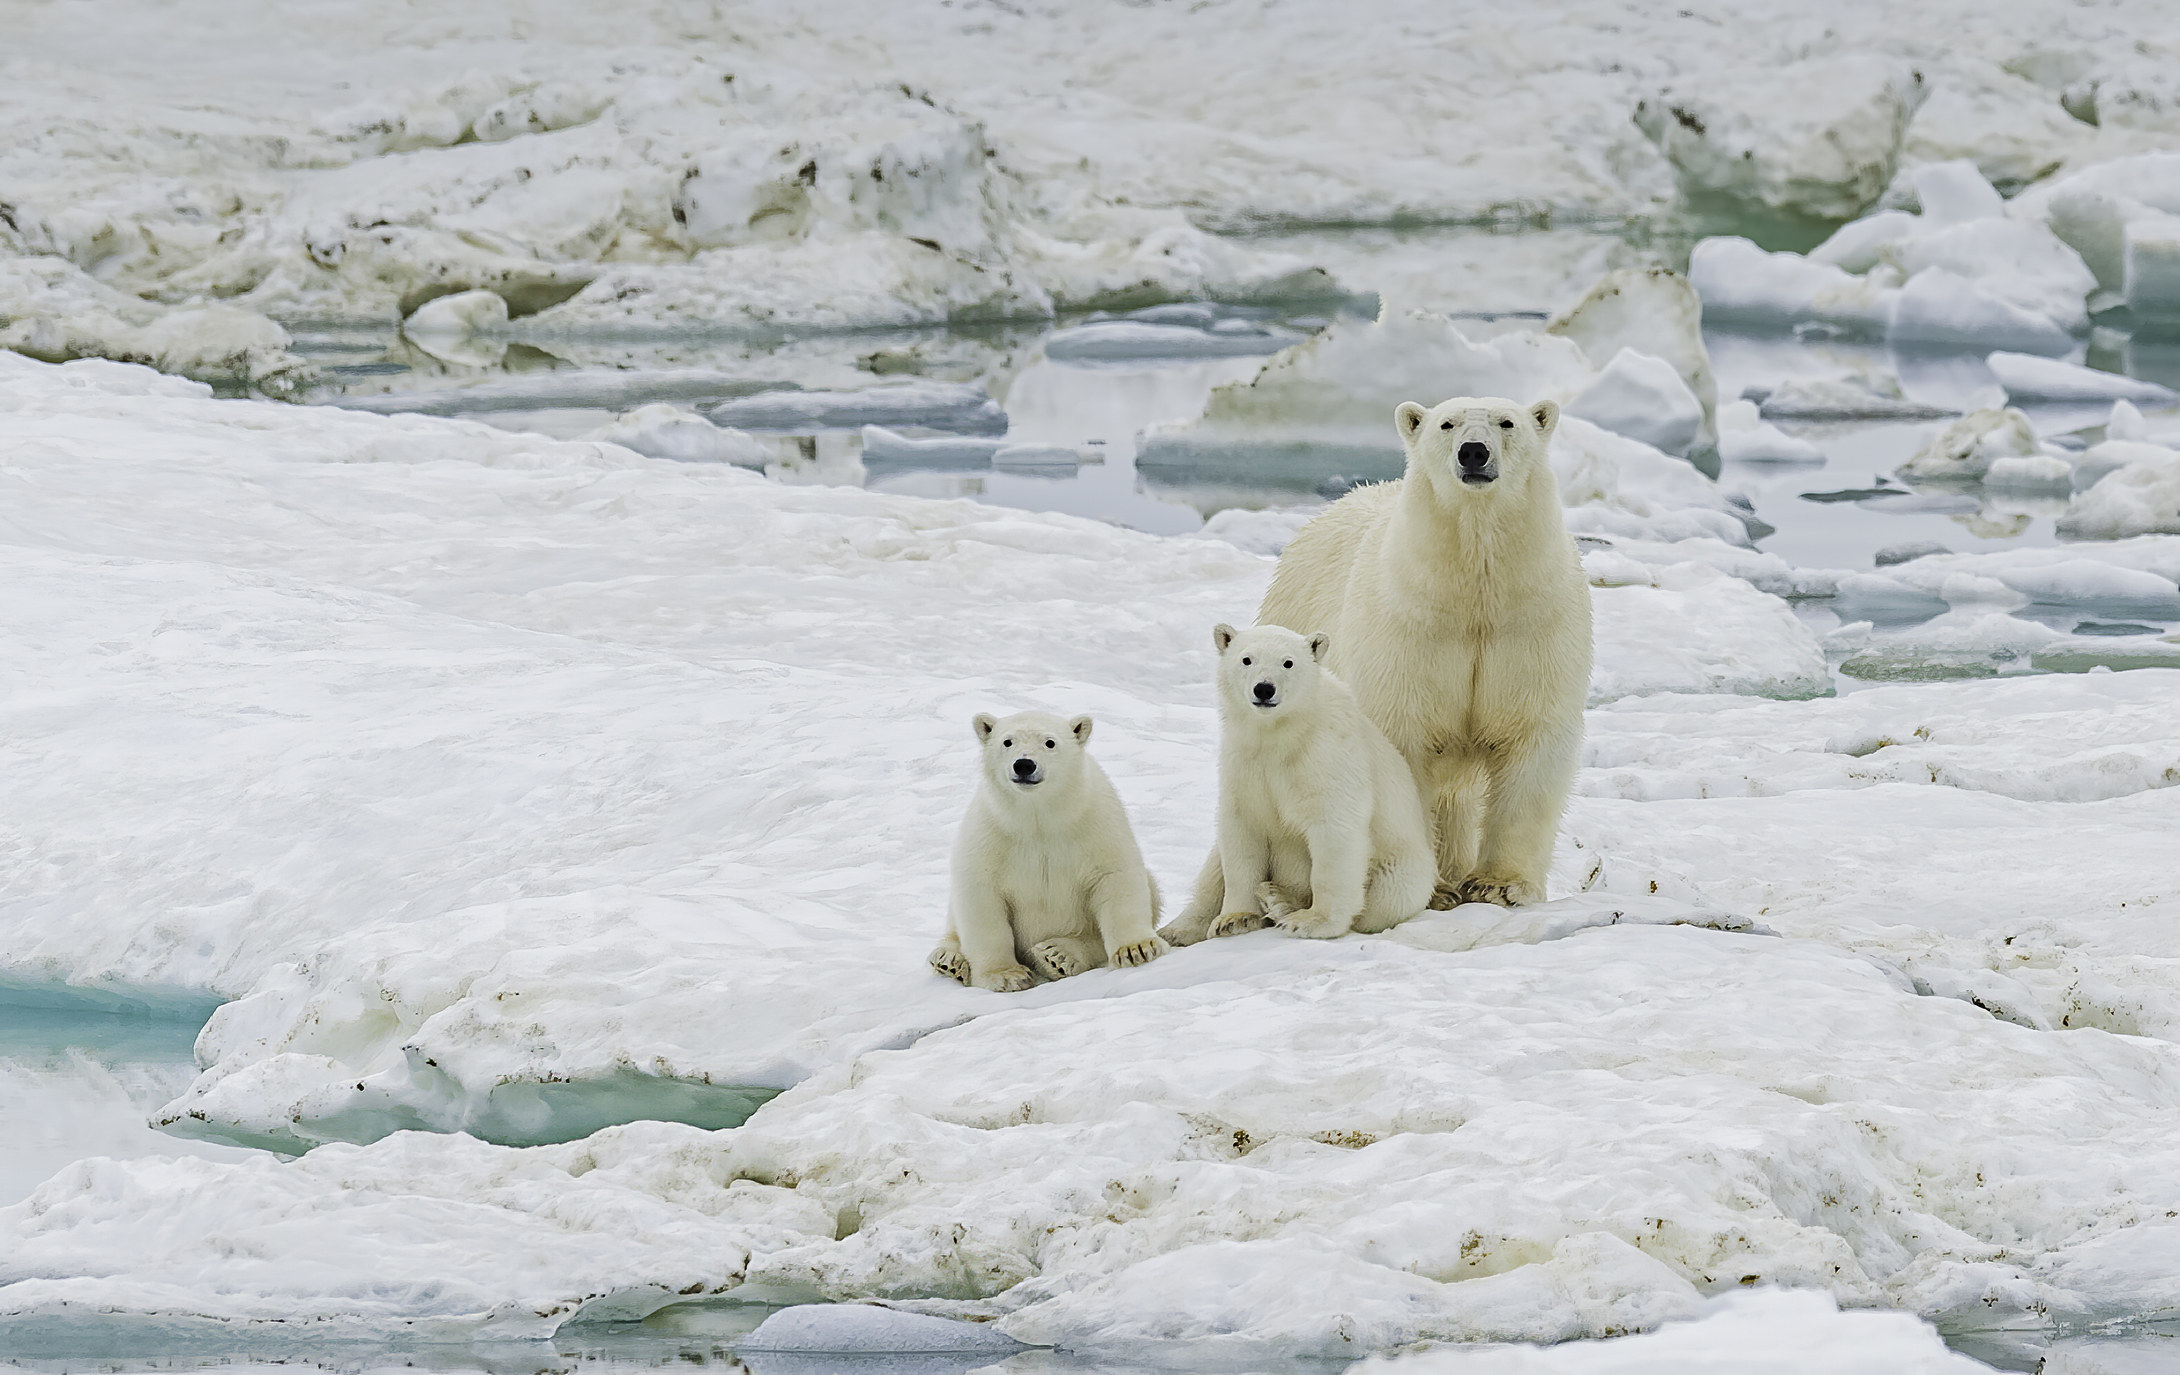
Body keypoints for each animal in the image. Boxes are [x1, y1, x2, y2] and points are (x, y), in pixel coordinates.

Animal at [928, 710, 1168, 989]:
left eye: (1050, 742)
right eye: (1007, 741)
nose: (1024, 765)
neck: (1038, 818)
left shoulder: (1095, 821)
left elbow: (1115, 875)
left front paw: (1136, 949)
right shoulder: (990, 832)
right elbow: (981, 896)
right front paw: (1007, 975)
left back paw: (1058, 955)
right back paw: (949, 959)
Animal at [1159, 627, 1430, 941]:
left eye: (1288, 662)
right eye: (1246, 659)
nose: (1264, 689)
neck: (1281, 734)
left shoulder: (1327, 757)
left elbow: (1334, 829)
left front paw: (1311, 921)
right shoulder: (1243, 764)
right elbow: (1241, 834)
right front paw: (1234, 919)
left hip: (1401, 867)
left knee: (1384, 902)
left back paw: (1280, 902)